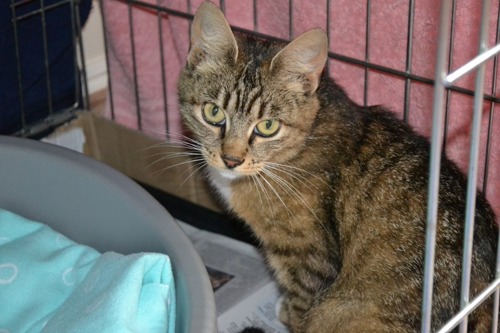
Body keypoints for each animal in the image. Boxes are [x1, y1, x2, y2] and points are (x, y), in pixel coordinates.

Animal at [178, 1, 498, 330]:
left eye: (267, 126)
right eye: (213, 112)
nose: (231, 159)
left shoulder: (308, 258)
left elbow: (300, 306)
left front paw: (287, 313)